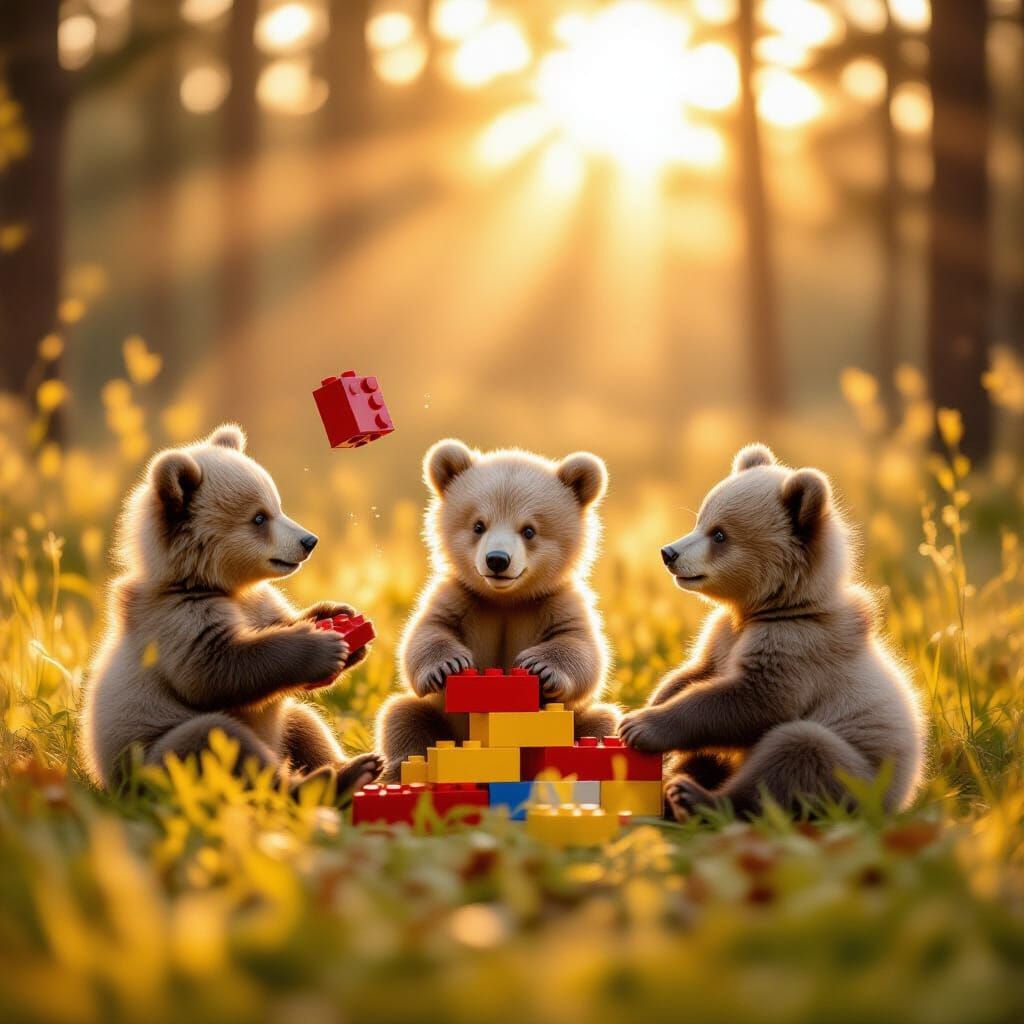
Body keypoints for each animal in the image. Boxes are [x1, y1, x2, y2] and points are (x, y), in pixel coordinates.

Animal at [80, 424, 383, 797]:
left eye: (278, 506)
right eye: (258, 517)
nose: (309, 541)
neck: (217, 584)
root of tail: (110, 784)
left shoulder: (260, 602)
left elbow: (281, 623)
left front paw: (339, 618)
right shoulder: (176, 616)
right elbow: (214, 667)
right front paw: (324, 646)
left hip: (281, 727)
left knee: (306, 724)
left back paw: (358, 766)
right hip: (156, 759)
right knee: (222, 743)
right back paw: (327, 780)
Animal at [376, 439, 619, 779]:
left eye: (529, 530)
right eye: (479, 525)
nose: (497, 560)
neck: (507, 599)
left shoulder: (555, 601)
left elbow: (582, 648)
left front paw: (539, 666)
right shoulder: (462, 597)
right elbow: (427, 632)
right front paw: (448, 665)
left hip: (579, 719)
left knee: (601, 722)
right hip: (436, 720)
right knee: (401, 717)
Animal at [618, 443, 924, 820]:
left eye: (720, 534)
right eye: (699, 520)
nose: (668, 553)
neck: (768, 608)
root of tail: (902, 797)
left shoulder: (798, 644)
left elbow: (751, 698)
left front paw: (642, 726)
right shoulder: (722, 635)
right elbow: (693, 673)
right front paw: (641, 708)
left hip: (858, 776)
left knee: (795, 757)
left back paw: (694, 796)